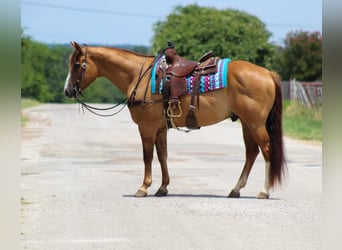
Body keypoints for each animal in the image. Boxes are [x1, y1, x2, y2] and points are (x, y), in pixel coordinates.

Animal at [64, 41, 286, 198]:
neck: (139, 76)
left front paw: (143, 187)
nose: (67, 91)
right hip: (247, 124)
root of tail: (267, 73)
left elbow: (147, 156)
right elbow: (163, 155)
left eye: (77, 65)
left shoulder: (146, 127)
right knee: (251, 153)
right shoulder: (161, 128)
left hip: (255, 124)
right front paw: (162, 187)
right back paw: (236, 189)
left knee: (266, 151)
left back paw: (264, 191)